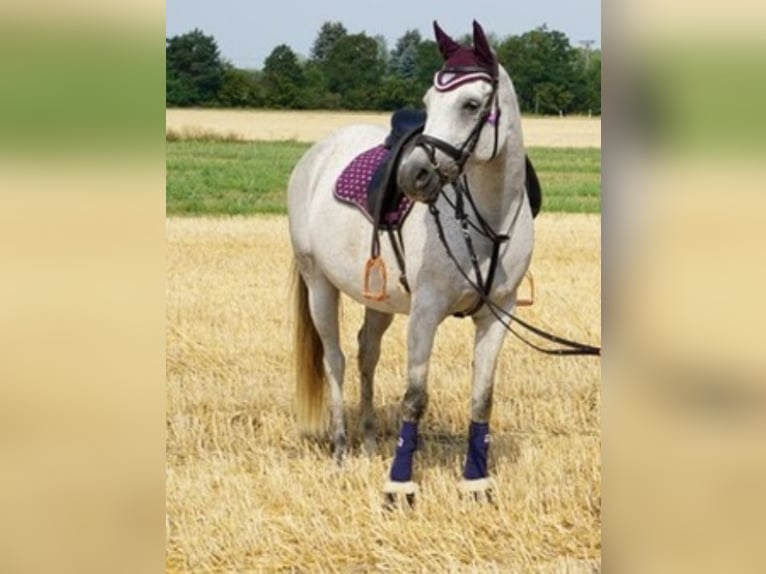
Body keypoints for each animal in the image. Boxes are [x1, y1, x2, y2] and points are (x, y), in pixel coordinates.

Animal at [287, 20, 534, 505]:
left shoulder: (500, 312)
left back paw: (367, 441)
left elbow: (483, 397)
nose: (412, 176)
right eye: (427, 102)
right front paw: (399, 485)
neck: (487, 219)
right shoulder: (425, 312)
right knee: (335, 361)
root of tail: (316, 154)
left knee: (366, 353)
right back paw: (341, 451)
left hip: (378, 298)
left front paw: (477, 481)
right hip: (319, 285)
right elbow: (415, 396)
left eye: (471, 104)